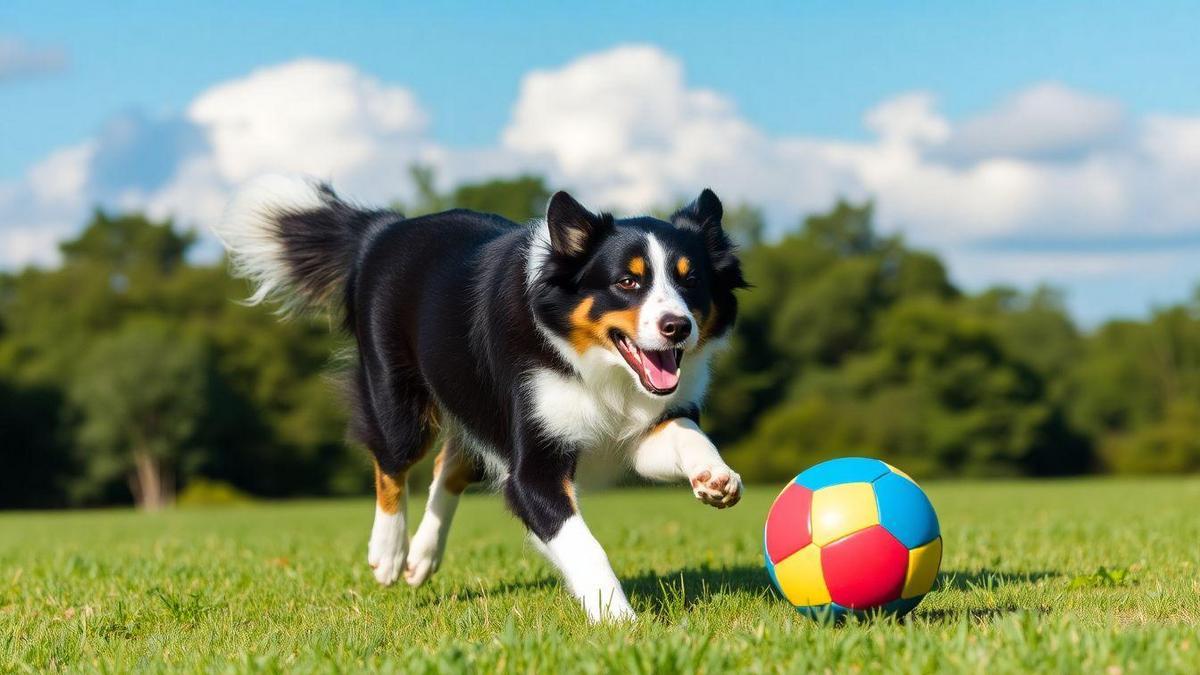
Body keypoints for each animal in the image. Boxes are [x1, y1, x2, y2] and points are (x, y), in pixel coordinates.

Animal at [211, 174, 744, 619]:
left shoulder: (635, 431)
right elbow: (582, 543)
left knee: (452, 462)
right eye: (627, 282)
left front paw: (715, 476)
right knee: (393, 461)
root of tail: (383, 229)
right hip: (399, 401)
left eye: (691, 280)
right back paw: (389, 552)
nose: (678, 326)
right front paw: (621, 622)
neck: (596, 366)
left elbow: (684, 430)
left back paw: (422, 556)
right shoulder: (533, 467)